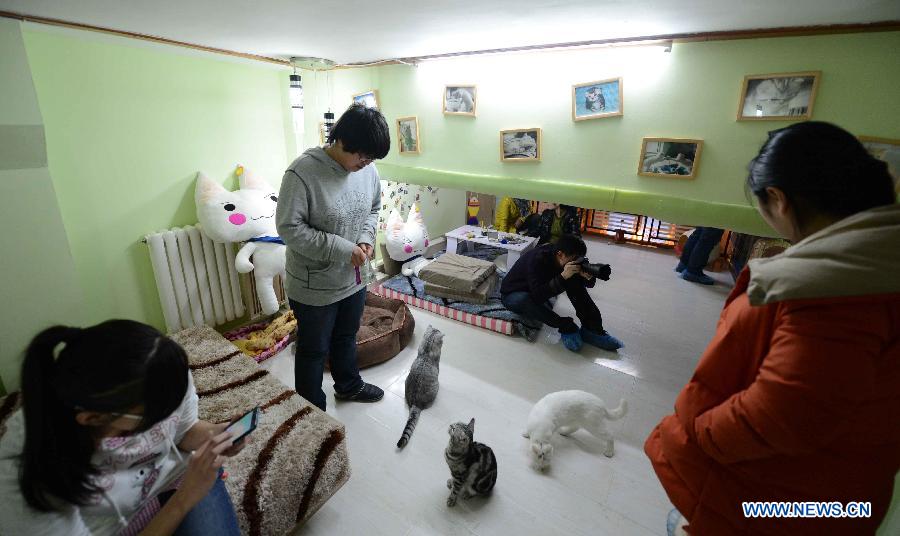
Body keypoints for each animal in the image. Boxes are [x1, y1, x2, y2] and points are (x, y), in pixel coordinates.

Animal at [195, 169, 286, 314]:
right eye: (229, 207)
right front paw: (248, 266)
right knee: (265, 288)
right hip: (263, 276)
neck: (266, 233)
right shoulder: (252, 244)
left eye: (274, 198)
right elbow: (242, 259)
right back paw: (272, 309)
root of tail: (279, 270)